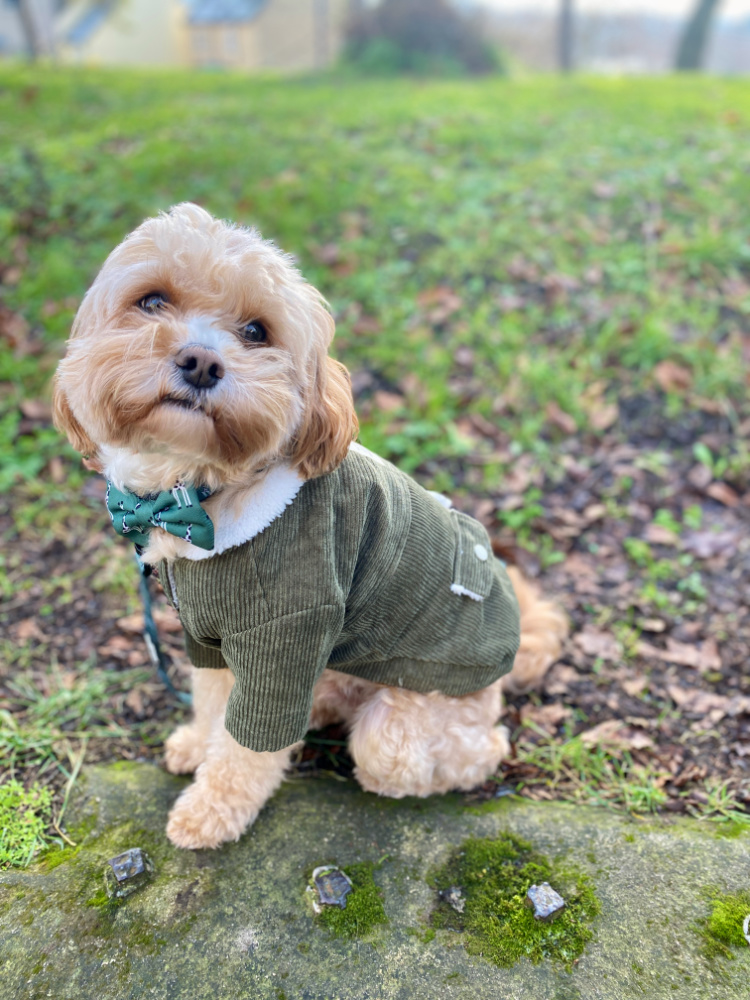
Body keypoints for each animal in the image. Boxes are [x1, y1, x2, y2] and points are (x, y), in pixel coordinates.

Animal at [54, 205, 568, 852]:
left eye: (256, 331)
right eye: (151, 301)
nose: (201, 362)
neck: (197, 494)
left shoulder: (288, 632)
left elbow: (248, 745)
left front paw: (211, 810)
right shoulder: (208, 639)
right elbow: (213, 703)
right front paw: (198, 744)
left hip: (412, 719)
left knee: (459, 748)